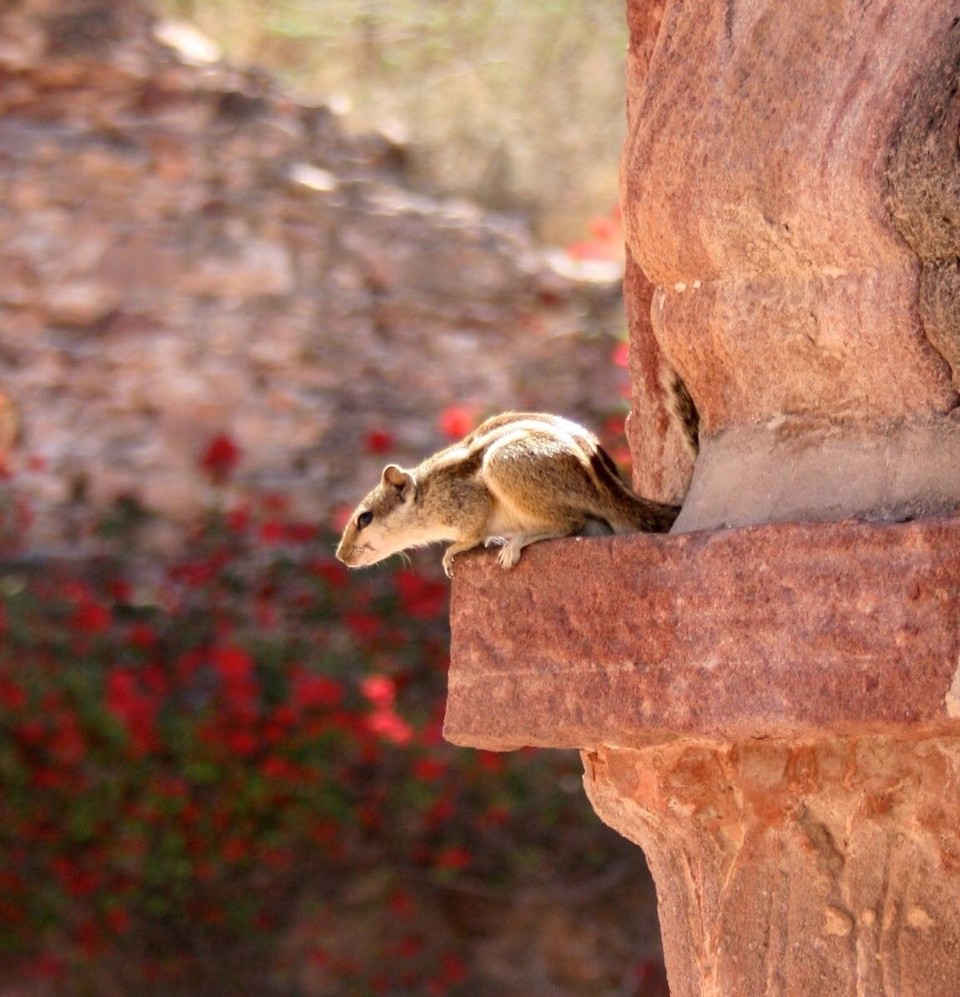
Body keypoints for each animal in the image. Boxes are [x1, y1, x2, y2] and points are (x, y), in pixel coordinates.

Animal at [336, 411, 681, 578]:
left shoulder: (468, 504)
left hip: (503, 462)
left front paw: (452, 551)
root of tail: (609, 487)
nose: (340, 557)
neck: (427, 495)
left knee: (570, 522)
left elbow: (472, 535)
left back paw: (517, 543)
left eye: (364, 518)